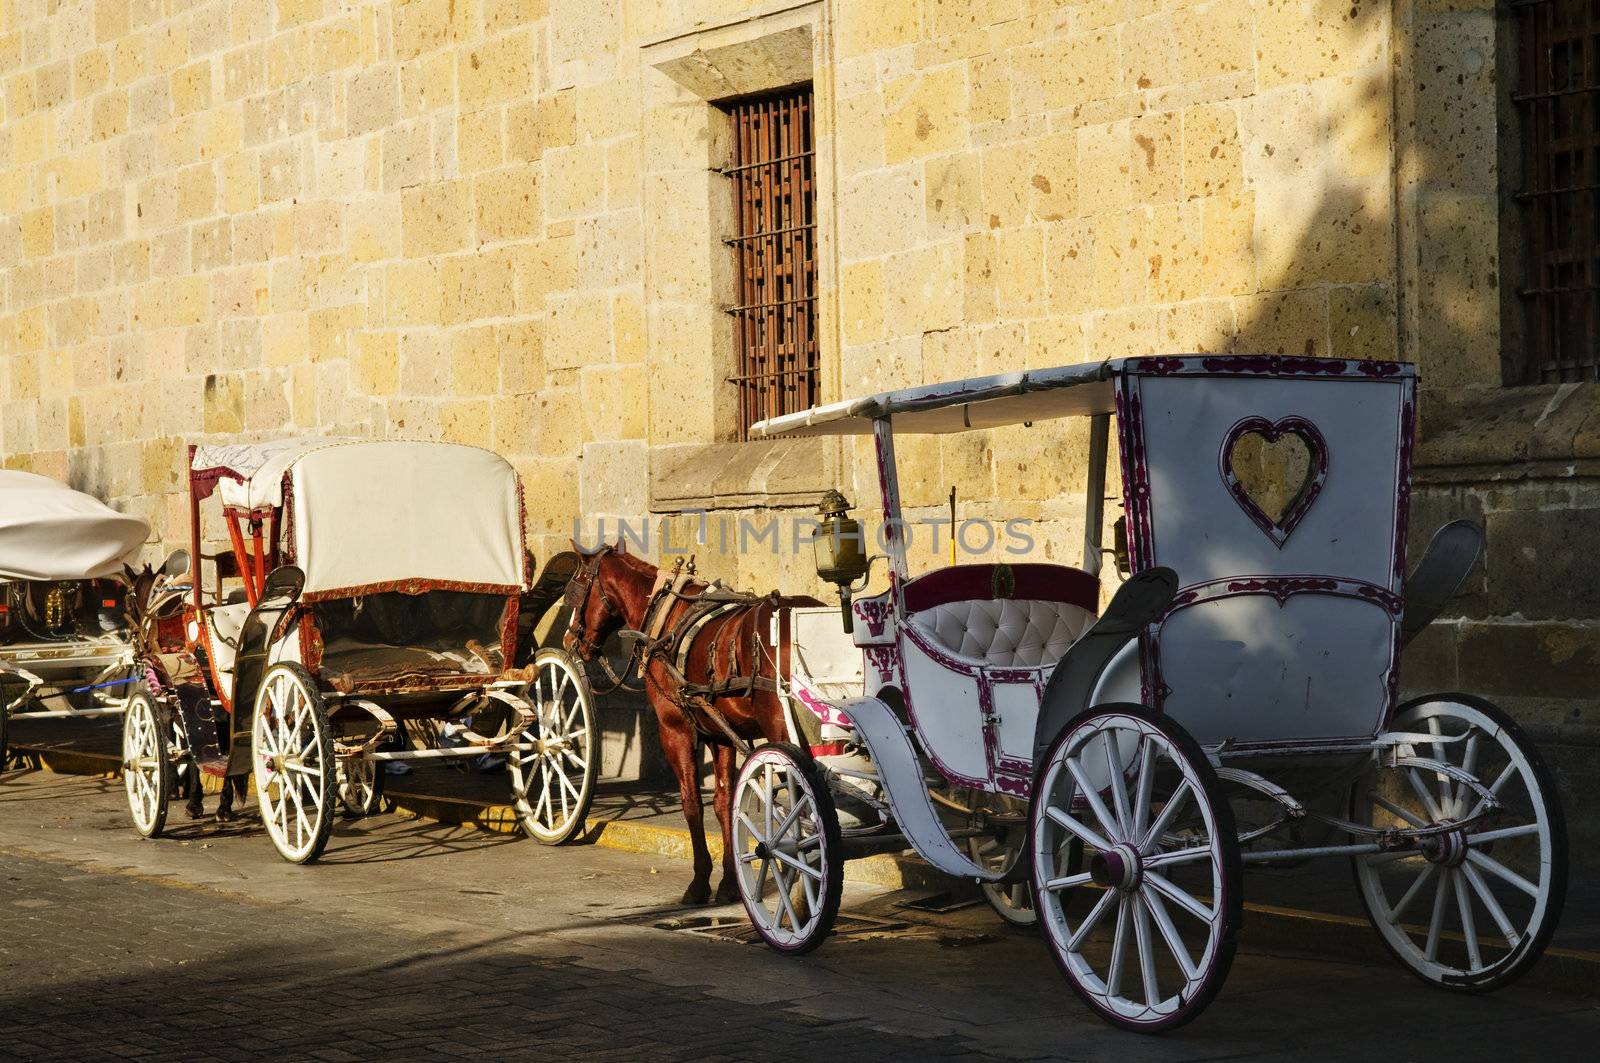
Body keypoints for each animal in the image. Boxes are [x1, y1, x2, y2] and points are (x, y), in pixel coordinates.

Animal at [566, 544, 800, 902]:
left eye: (576, 590)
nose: (569, 641)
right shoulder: (719, 735)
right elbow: (723, 804)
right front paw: (729, 882)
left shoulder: (674, 730)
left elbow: (692, 803)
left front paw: (700, 881)